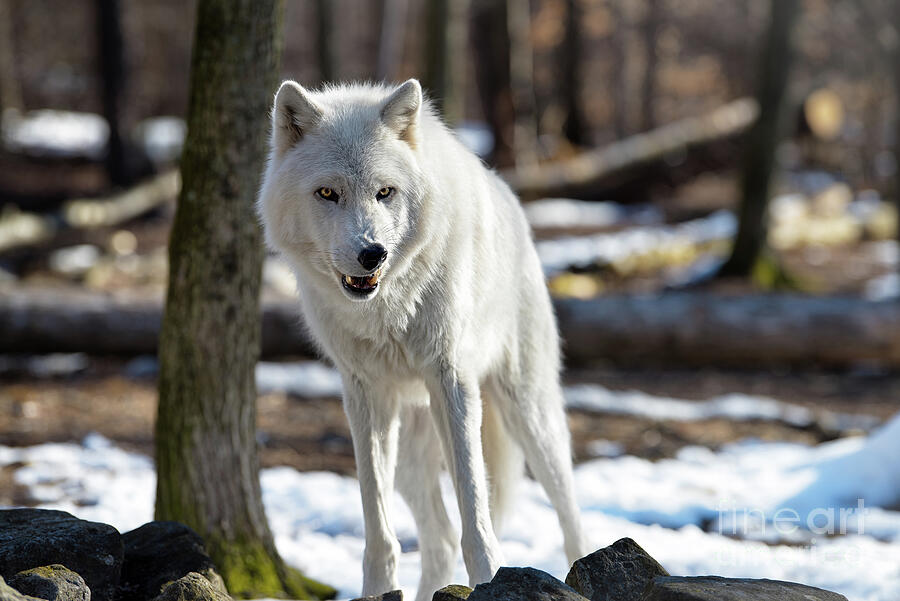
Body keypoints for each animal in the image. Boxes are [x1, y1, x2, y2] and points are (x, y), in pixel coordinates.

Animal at [257, 79, 585, 600]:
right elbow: (377, 520)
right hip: (412, 452)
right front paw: (378, 587)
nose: (372, 254)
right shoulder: (365, 396)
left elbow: (475, 509)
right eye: (327, 193)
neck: (385, 310)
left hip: (527, 414)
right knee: (440, 538)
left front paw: (489, 577)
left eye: (384, 192)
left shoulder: (451, 382)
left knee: (569, 515)